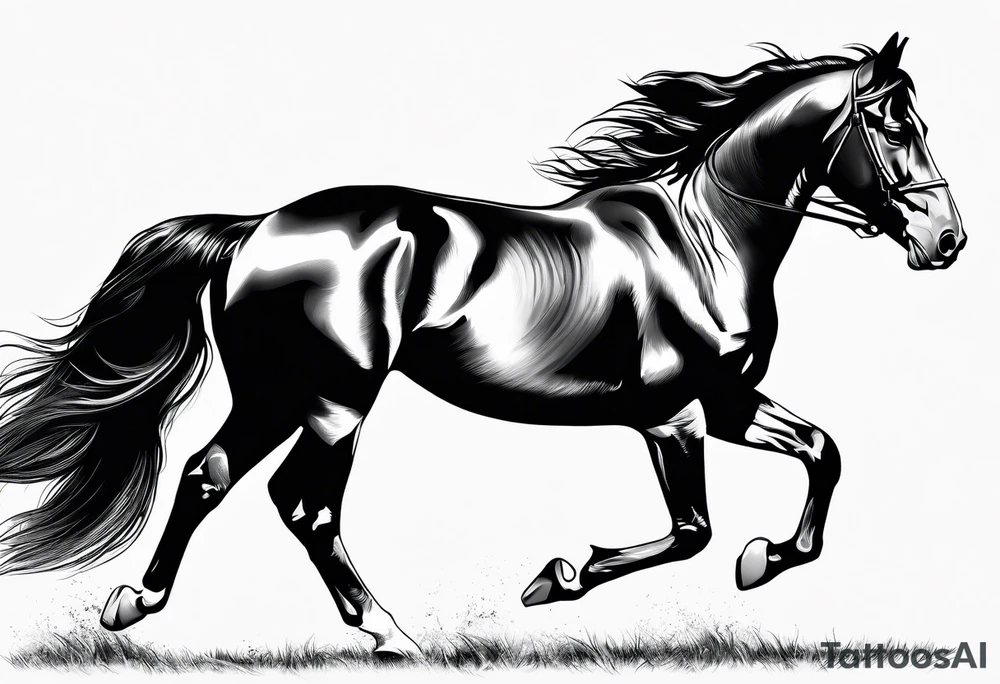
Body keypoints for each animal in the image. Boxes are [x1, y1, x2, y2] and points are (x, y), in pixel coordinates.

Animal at [0, 34, 964, 659]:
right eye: (895, 126)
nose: (946, 241)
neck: (702, 239)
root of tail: (257, 228)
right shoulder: (674, 416)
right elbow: (692, 530)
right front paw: (557, 577)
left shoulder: (727, 403)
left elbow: (823, 452)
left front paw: (765, 561)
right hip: (335, 403)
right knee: (303, 505)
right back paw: (389, 634)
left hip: (277, 395)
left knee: (211, 475)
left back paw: (135, 603)